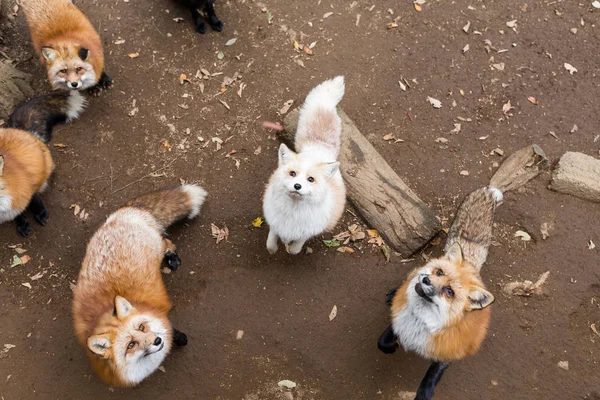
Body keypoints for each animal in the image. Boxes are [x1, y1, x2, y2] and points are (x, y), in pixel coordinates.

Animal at [0, 92, 85, 236]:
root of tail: (22, 130)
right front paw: (22, 224)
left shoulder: (26, 186)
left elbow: (31, 202)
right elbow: (18, 214)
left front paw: (39, 213)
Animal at [72, 185, 207, 388]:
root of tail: (124, 212)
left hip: (157, 247)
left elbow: (172, 329)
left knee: (167, 241)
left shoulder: (159, 313)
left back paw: (172, 258)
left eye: (142, 327)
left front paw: (179, 338)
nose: (158, 340)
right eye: (131, 345)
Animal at [380, 188, 502, 400]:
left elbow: (432, 374)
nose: (426, 280)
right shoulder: (399, 320)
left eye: (449, 291)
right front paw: (391, 346)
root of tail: (471, 265)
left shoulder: (449, 349)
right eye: (439, 272)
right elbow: (382, 342)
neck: (419, 323)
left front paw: (424, 392)